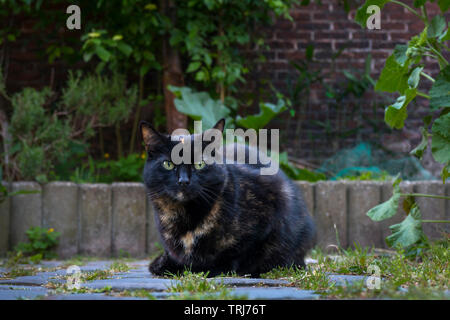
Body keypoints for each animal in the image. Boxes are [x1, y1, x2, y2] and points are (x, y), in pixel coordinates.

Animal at [139, 119, 314, 276]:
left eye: (200, 164)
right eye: (168, 164)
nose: (183, 181)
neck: (186, 217)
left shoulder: (271, 206)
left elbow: (241, 252)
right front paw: (164, 263)